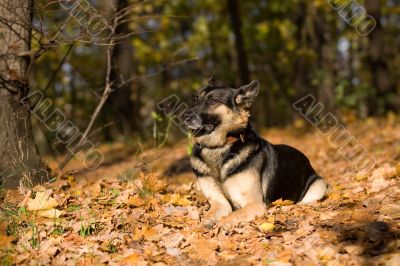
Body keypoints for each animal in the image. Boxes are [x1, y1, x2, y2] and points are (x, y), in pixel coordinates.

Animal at [183, 78, 326, 225]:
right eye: (195, 99)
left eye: (212, 100)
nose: (185, 116)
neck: (218, 146)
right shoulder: (220, 203)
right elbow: (207, 218)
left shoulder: (254, 204)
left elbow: (232, 216)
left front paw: (221, 226)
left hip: (318, 186)